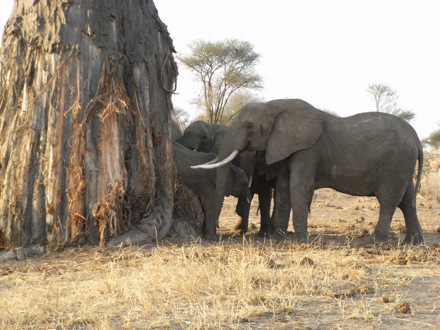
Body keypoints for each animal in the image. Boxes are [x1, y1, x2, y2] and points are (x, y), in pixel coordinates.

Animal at [194, 98, 424, 245]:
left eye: (250, 126)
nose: (213, 236)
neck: (276, 107)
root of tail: (416, 137)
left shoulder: (308, 150)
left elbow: (298, 186)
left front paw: (300, 240)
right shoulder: (286, 147)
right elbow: (284, 187)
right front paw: (278, 239)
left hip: (395, 163)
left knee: (388, 200)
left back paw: (377, 242)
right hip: (401, 164)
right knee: (407, 200)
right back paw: (413, 242)